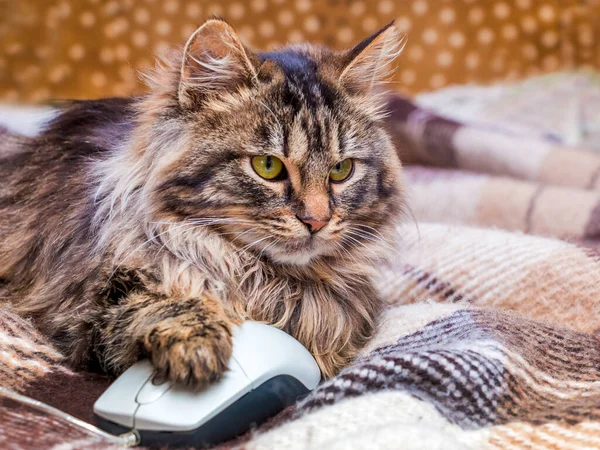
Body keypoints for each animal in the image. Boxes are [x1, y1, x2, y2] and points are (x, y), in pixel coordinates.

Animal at [1, 18, 408, 386]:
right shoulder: (83, 312)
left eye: (341, 170)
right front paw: (199, 347)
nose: (316, 221)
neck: (267, 282)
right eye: (268, 166)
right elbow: (161, 300)